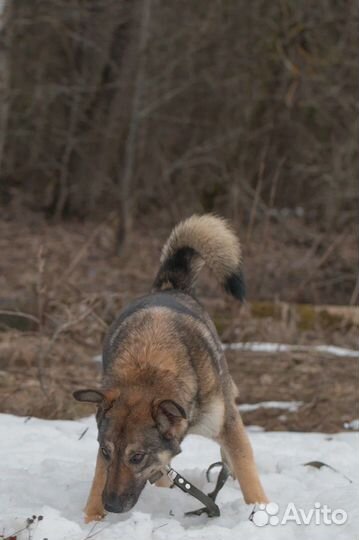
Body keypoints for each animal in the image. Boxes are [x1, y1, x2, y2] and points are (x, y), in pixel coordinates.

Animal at [74, 215, 268, 524]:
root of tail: (170, 286)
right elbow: (98, 480)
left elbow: (247, 470)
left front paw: (259, 511)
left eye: (137, 457)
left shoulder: (226, 424)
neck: (149, 369)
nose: (112, 505)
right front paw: (92, 519)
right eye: (105, 451)